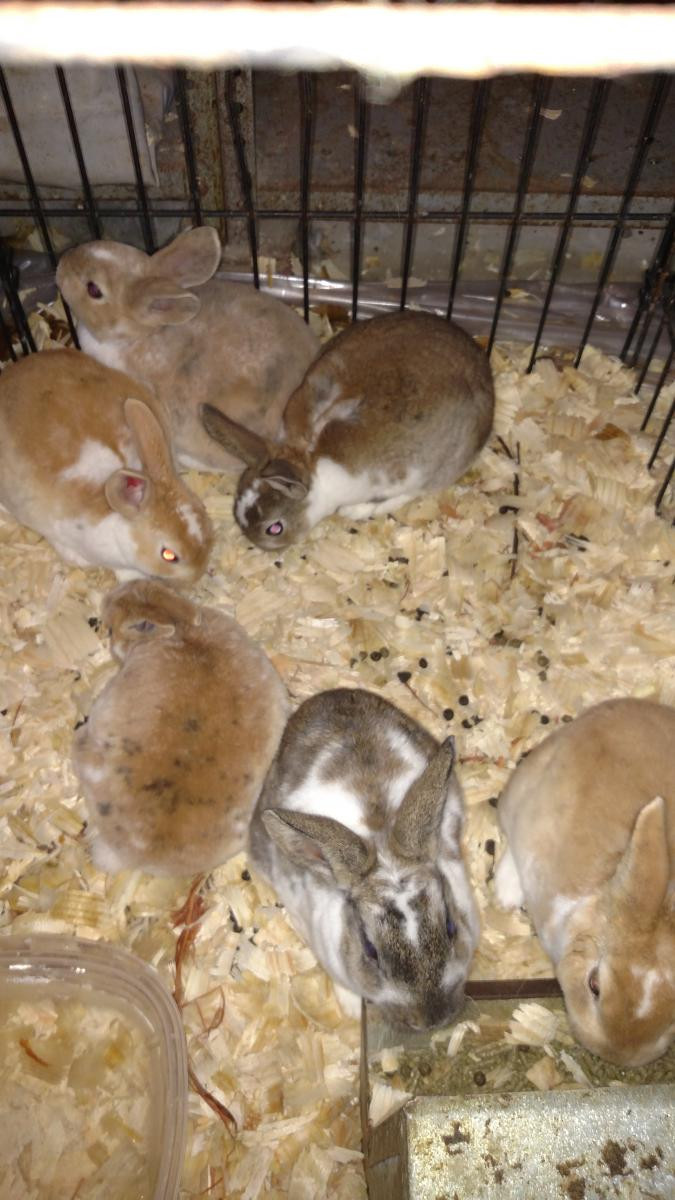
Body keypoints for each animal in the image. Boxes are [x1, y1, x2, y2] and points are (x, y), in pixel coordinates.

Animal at [248, 687, 480, 1029]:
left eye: (451, 927)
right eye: (370, 951)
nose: (432, 1019)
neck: (378, 840)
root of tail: (329, 695)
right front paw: (351, 1010)